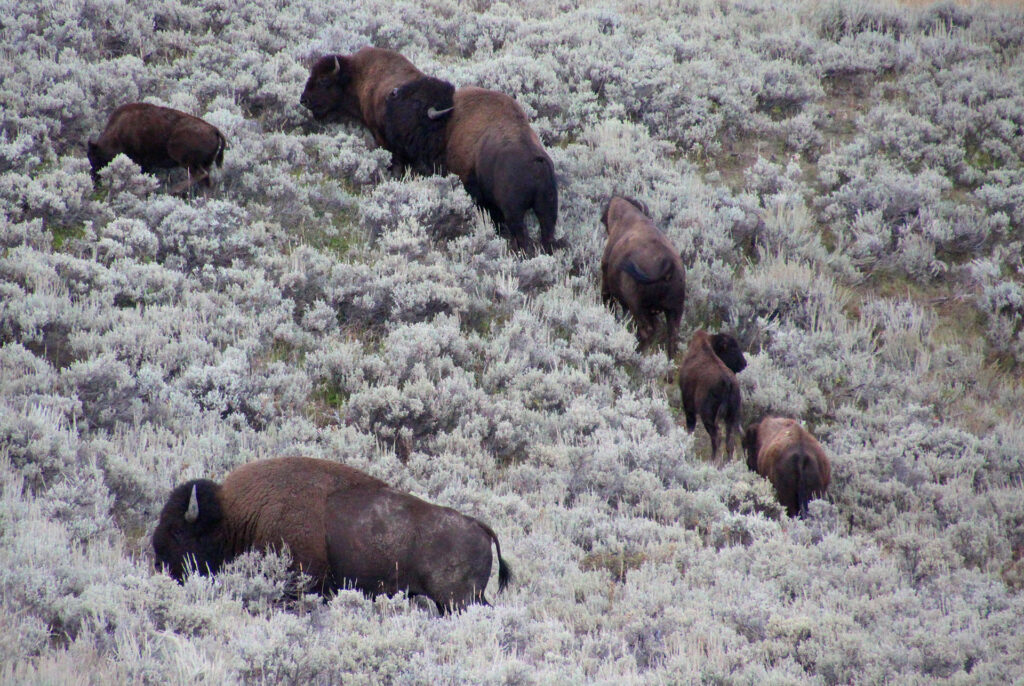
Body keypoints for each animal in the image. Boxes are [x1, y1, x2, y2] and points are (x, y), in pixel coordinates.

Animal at [88, 104, 226, 196]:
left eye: (95, 158)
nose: (95, 182)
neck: (118, 132)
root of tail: (214, 130)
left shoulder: (142, 162)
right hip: (203, 163)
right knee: (206, 181)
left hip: (180, 155)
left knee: (201, 174)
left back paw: (173, 190)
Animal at [598, 196, 688, 360]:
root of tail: (668, 263)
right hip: (675, 310)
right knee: (672, 338)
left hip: (638, 306)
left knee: (647, 330)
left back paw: (636, 352)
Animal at [679, 331, 745, 462]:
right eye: (732, 347)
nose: (744, 364)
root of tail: (728, 382)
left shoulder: (688, 407)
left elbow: (690, 428)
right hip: (731, 416)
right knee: (729, 441)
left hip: (708, 416)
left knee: (716, 436)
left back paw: (713, 460)